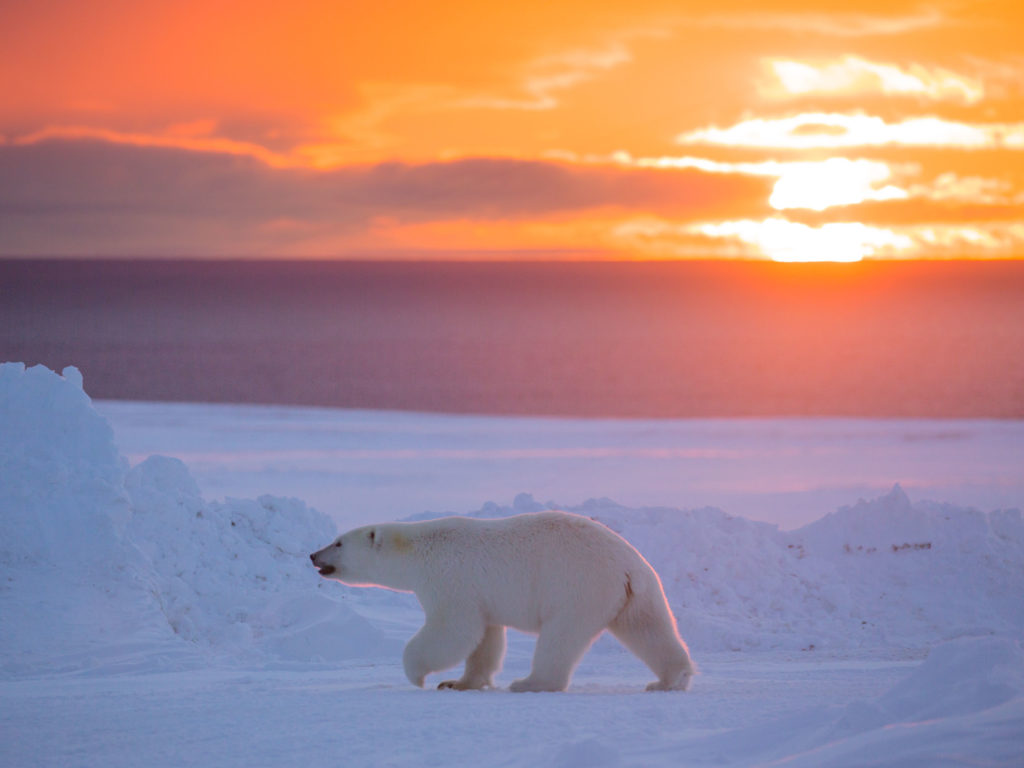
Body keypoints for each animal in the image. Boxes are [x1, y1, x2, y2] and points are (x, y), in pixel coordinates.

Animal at [310, 511, 695, 692]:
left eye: (339, 542)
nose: (314, 555)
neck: (418, 550)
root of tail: (630, 565)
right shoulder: (481, 594)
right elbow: (485, 638)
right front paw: (459, 683)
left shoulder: (450, 579)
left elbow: (454, 630)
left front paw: (417, 675)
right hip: (635, 594)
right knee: (650, 629)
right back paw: (669, 680)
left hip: (578, 587)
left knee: (560, 637)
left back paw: (531, 682)